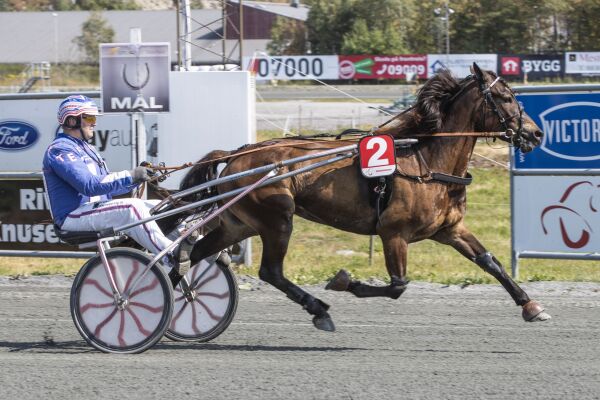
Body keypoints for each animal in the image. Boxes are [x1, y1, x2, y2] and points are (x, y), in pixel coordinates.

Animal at [172, 63, 548, 332]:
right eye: (506, 98)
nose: (535, 133)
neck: (428, 162)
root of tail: (237, 154)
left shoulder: (450, 229)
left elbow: (490, 262)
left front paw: (531, 305)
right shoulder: (393, 233)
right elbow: (397, 285)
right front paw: (343, 281)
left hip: (241, 223)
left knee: (197, 252)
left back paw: (176, 297)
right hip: (277, 219)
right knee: (270, 271)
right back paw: (318, 309)